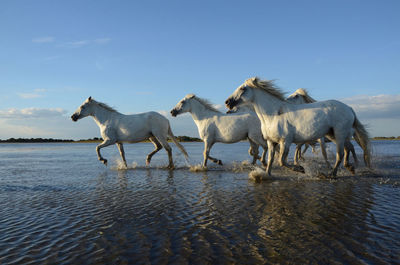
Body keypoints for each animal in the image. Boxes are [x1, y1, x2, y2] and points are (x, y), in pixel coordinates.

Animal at [227, 77, 370, 175]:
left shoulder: (285, 141)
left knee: (340, 153)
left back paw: (332, 174)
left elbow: (282, 161)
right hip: (333, 135)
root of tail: (349, 108)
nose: (227, 103)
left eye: (243, 88)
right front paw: (266, 175)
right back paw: (350, 167)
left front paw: (300, 168)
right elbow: (271, 160)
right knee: (347, 149)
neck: (273, 115)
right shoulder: (271, 142)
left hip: (339, 134)